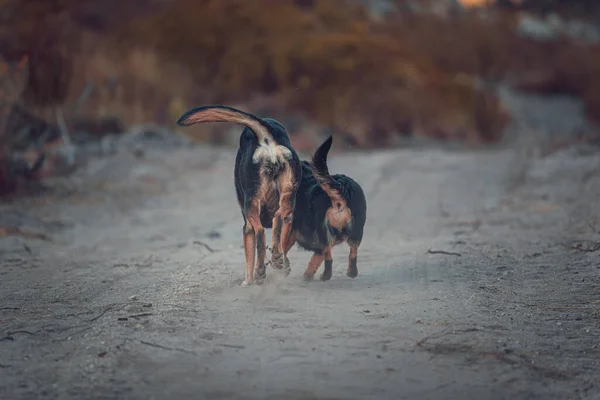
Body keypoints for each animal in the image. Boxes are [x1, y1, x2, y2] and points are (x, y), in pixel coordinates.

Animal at [176, 104, 302, 286]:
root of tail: (267, 136)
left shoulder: (247, 227)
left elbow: (249, 258)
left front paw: (248, 281)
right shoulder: (289, 221)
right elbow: (282, 244)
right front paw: (282, 264)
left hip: (251, 205)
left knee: (260, 232)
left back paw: (260, 272)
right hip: (287, 200)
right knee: (278, 218)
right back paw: (275, 260)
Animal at [284, 134, 366, 282]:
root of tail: (342, 188)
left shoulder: (290, 232)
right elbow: (315, 259)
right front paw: (307, 275)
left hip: (323, 230)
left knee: (329, 257)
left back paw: (325, 276)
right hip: (356, 231)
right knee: (352, 253)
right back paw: (351, 272)